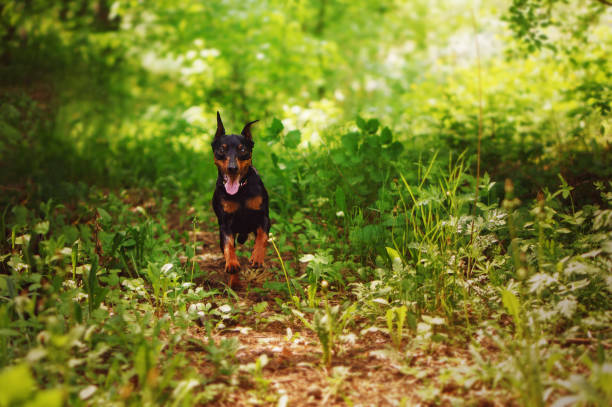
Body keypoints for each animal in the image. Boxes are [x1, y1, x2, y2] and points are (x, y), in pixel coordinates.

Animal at [212, 112, 268, 290]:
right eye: (221, 149)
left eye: (242, 149)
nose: (232, 168)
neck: (240, 192)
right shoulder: (225, 223)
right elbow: (228, 246)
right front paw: (232, 265)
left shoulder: (263, 216)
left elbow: (263, 236)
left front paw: (257, 258)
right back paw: (234, 281)